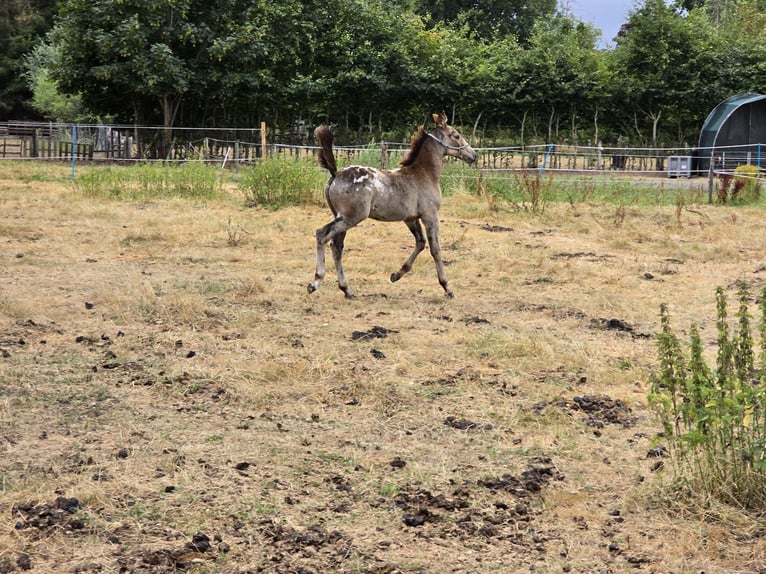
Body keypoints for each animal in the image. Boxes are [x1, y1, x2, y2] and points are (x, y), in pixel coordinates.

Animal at [307, 112, 477, 299]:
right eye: (456, 135)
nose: (473, 155)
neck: (424, 174)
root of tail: (335, 174)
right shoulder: (430, 216)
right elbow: (435, 249)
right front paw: (447, 287)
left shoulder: (411, 218)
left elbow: (420, 242)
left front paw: (396, 275)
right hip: (351, 217)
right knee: (322, 234)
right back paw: (315, 282)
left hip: (341, 217)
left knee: (337, 247)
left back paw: (347, 290)